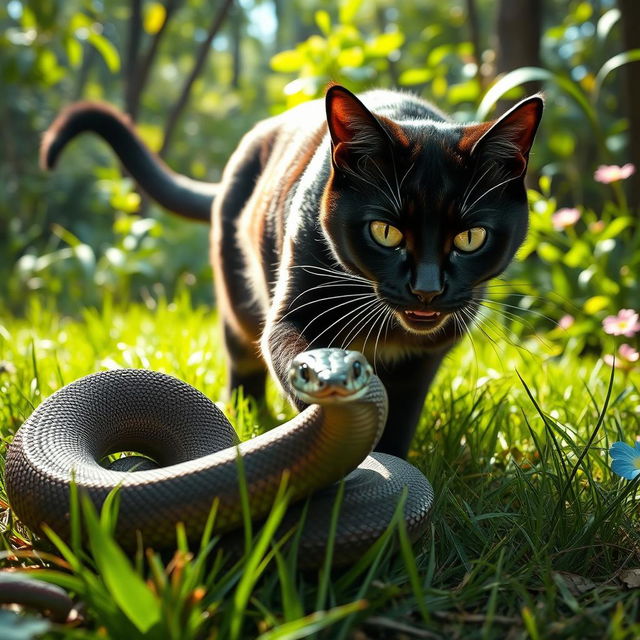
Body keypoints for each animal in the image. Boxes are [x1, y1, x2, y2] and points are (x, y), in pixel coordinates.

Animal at [41, 85, 540, 458]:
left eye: (470, 237)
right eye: (385, 231)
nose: (427, 289)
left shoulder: (424, 357)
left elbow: (401, 417)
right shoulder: (290, 315)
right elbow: (288, 355)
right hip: (239, 297)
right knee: (241, 356)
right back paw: (247, 412)